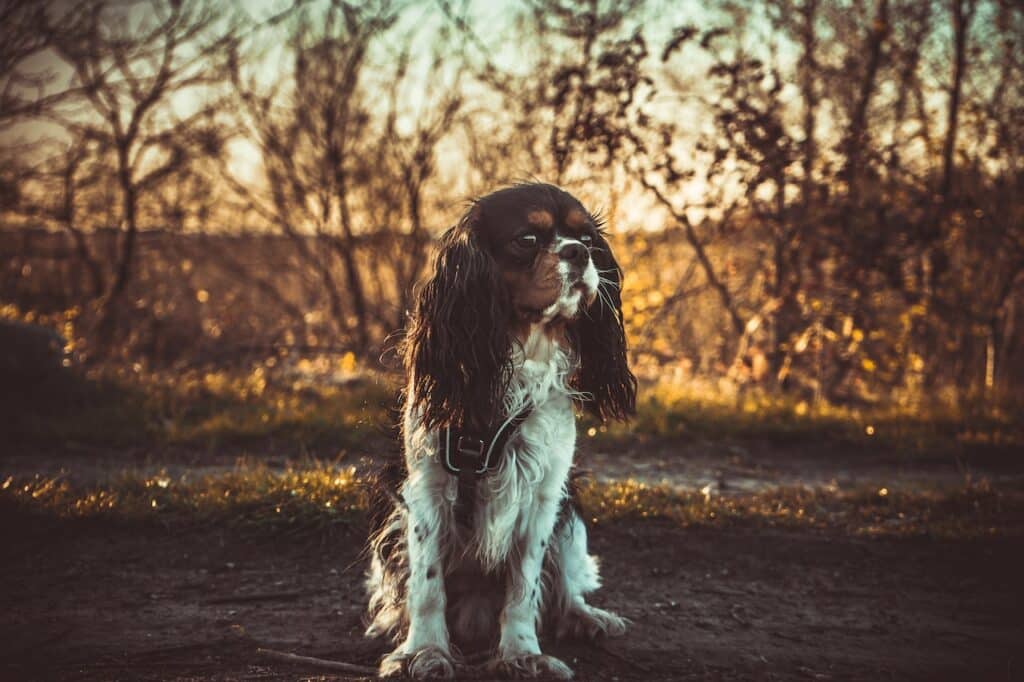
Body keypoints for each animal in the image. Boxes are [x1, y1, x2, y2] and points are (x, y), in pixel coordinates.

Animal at [364, 183, 634, 675]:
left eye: (587, 239)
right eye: (527, 239)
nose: (578, 253)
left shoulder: (544, 495)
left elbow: (524, 586)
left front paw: (523, 653)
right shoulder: (426, 489)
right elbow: (427, 585)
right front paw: (424, 651)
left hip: (571, 515)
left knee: (565, 584)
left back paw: (586, 616)